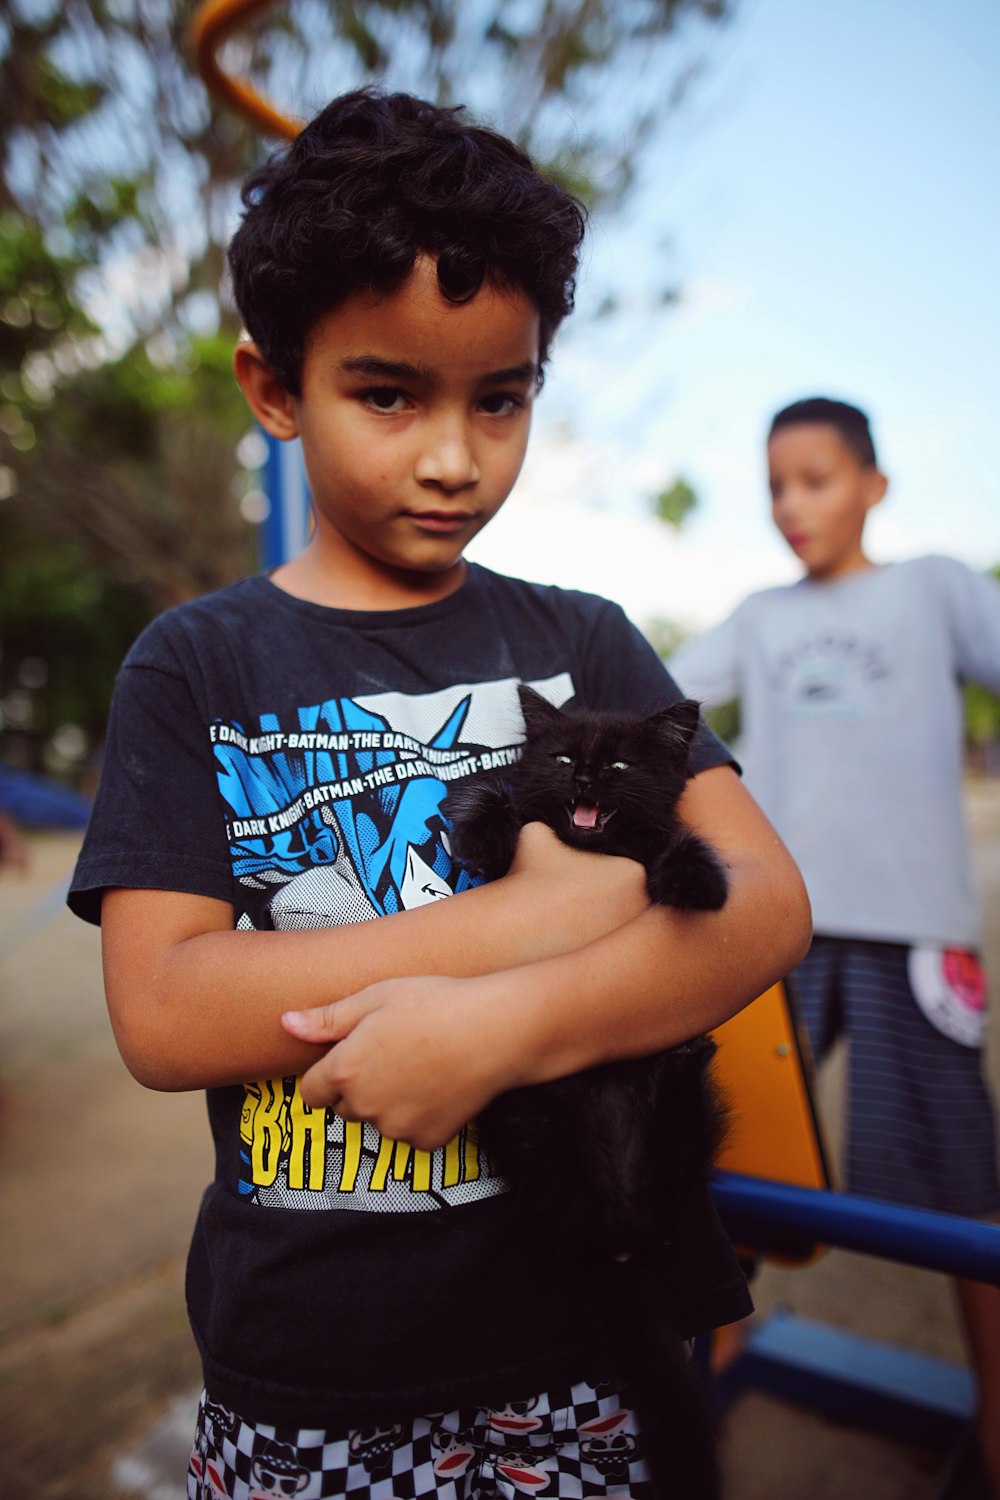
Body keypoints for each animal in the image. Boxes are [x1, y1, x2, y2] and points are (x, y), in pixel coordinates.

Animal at [449, 687, 731, 1500]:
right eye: (565, 757)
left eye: (622, 766)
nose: (585, 780)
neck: (592, 853)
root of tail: (619, 1233)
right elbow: (504, 805)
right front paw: (478, 829)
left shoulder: (658, 836)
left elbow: (679, 846)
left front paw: (698, 882)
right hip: (527, 1118)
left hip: (687, 1126)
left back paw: (688, 1051)